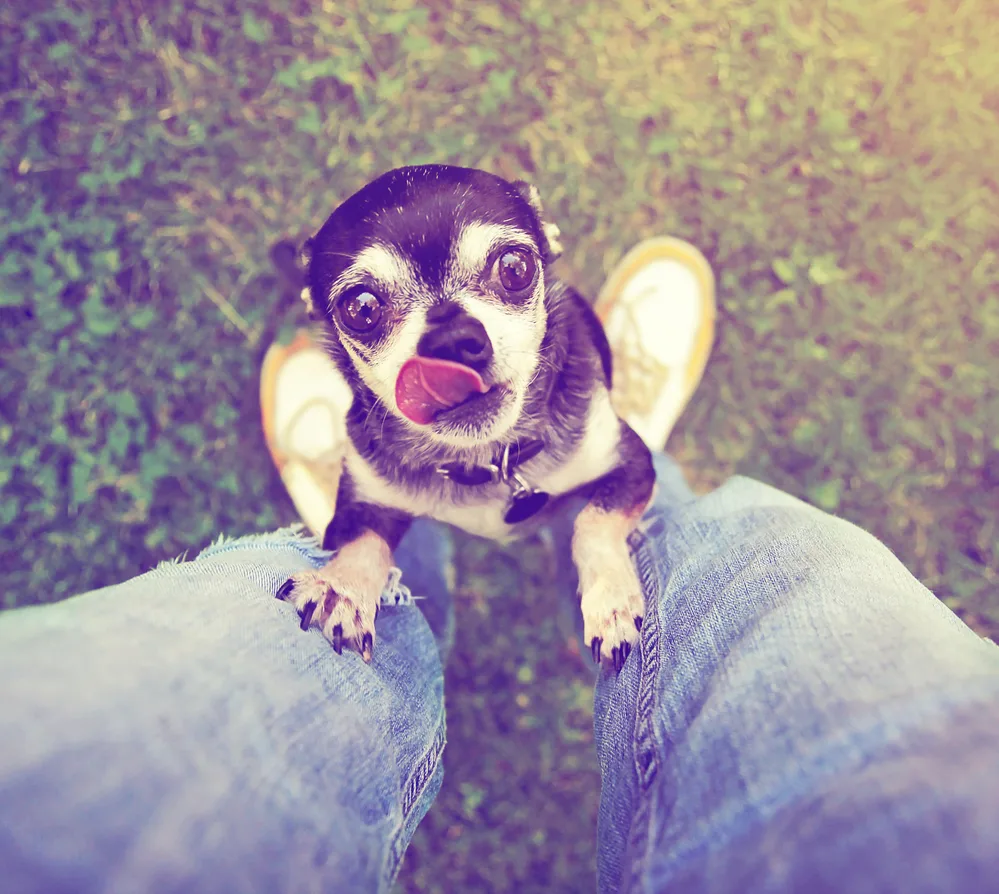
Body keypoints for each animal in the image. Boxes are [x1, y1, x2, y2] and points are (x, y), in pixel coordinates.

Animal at [278, 166, 660, 672]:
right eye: (361, 309)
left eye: (515, 268)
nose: (452, 340)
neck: (485, 460)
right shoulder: (365, 502)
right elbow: (363, 544)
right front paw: (340, 589)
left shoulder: (631, 463)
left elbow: (592, 523)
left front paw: (611, 604)